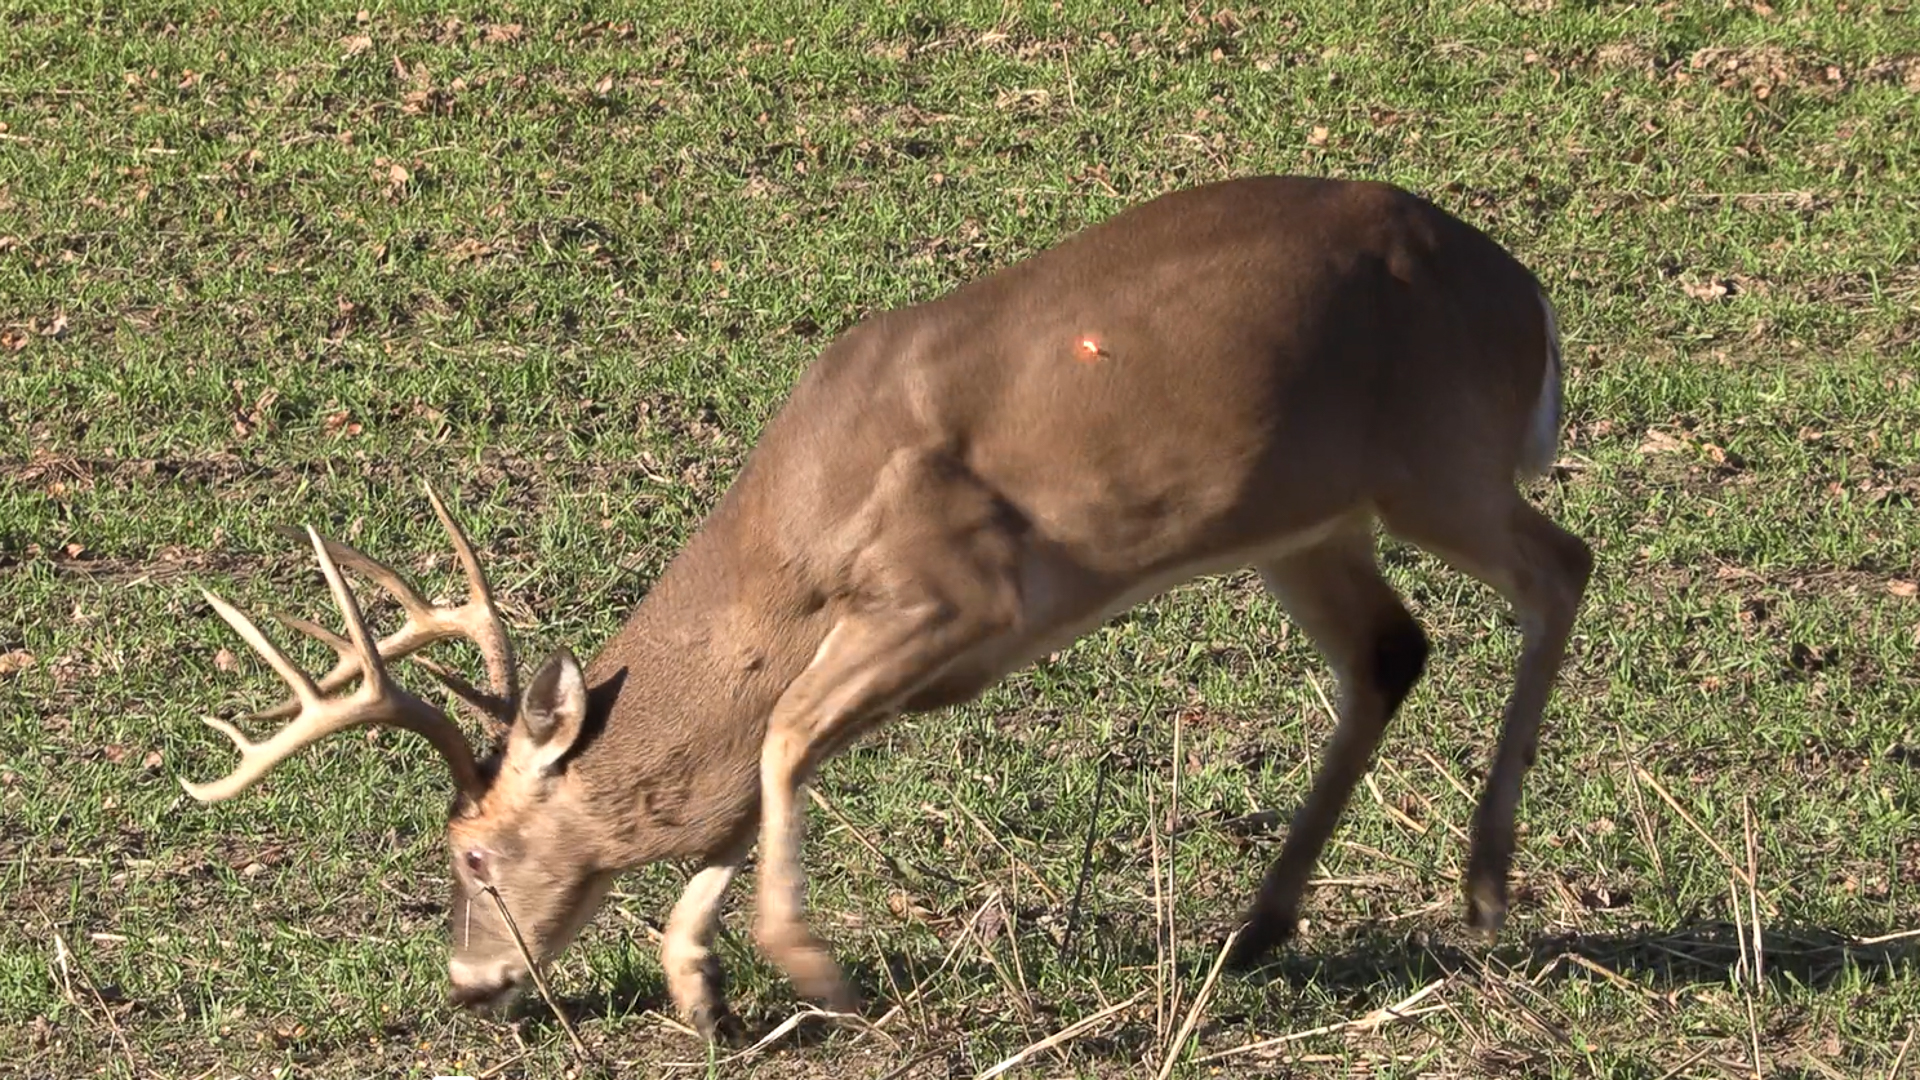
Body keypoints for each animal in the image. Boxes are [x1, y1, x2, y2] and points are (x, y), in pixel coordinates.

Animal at [176, 174, 1589, 1037]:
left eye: (472, 854)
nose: (470, 982)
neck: (791, 555)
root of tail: (1532, 304)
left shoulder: (959, 590)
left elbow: (781, 743)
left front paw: (802, 966)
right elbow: (761, 762)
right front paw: (702, 985)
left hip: (1438, 458)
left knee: (1560, 566)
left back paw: (1484, 883)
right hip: (1306, 519)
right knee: (1391, 649)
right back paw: (1260, 923)